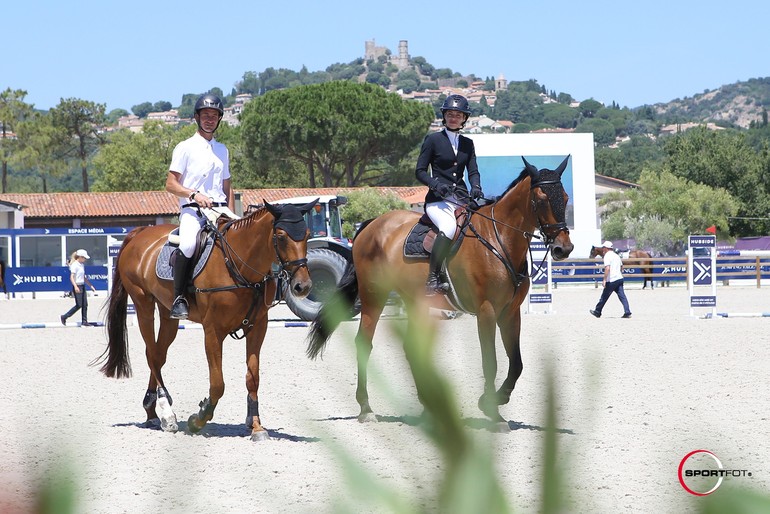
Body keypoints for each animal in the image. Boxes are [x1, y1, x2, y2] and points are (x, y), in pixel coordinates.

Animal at [95, 198, 316, 438]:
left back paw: (152, 413)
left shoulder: (258, 328)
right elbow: (218, 384)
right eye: (281, 236)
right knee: (151, 355)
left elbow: (253, 378)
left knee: (159, 355)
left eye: (307, 234)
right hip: (143, 303)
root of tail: (140, 232)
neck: (239, 265)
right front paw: (198, 419)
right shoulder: (213, 331)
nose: (302, 286)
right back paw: (167, 413)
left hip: (168, 314)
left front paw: (256, 425)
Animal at [304, 155, 568, 424]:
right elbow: (490, 361)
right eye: (541, 199)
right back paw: (366, 409)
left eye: (566, 198)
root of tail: (371, 224)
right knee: (364, 343)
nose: (563, 248)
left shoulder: (511, 312)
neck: (499, 240)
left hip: (414, 301)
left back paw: (428, 408)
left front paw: (499, 399)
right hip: (373, 297)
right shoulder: (486, 310)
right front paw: (492, 411)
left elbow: (516, 363)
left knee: (412, 348)